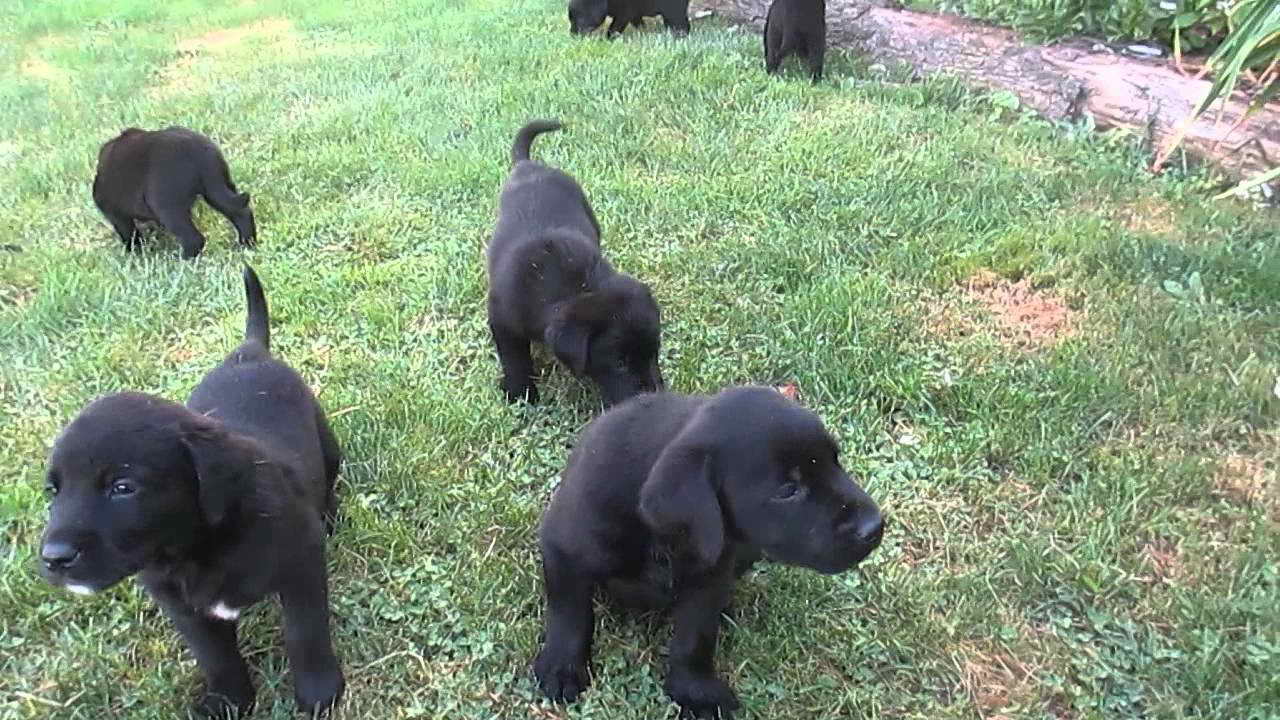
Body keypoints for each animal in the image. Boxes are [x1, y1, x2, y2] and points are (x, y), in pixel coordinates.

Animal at [38, 266, 345, 712]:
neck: (197, 549)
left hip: (328, 447)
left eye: (123, 487)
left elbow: (305, 632)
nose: (53, 558)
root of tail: (248, 352)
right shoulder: (180, 604)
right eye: (52, 491)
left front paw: (320, 693)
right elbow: (215, 655)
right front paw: (228, 701)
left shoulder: (301, 565)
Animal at [92, 127, 257, 258]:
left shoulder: (115, 213)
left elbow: (130, 235)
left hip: (166, 206)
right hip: (217, 187)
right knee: (241, 212)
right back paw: (247, 244)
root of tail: (198, 152)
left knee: (194, 239)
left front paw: (134, 253)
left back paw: (182, 260)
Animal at [486, 120, 665, 407]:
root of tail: (528, 165)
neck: (576, 287)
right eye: (620, 363)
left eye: (653, 353)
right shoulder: (502, 317)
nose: (654, 397)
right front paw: (520, 393)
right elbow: (514, 358)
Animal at [535, 386, 885, 717]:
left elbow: (695, 638)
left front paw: (694, 690)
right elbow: (570, 613)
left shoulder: (709, 578)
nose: (875, 526)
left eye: (835, 461)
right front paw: (561, 667)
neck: (662, 539)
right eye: (787, 489)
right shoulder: (562, 547)